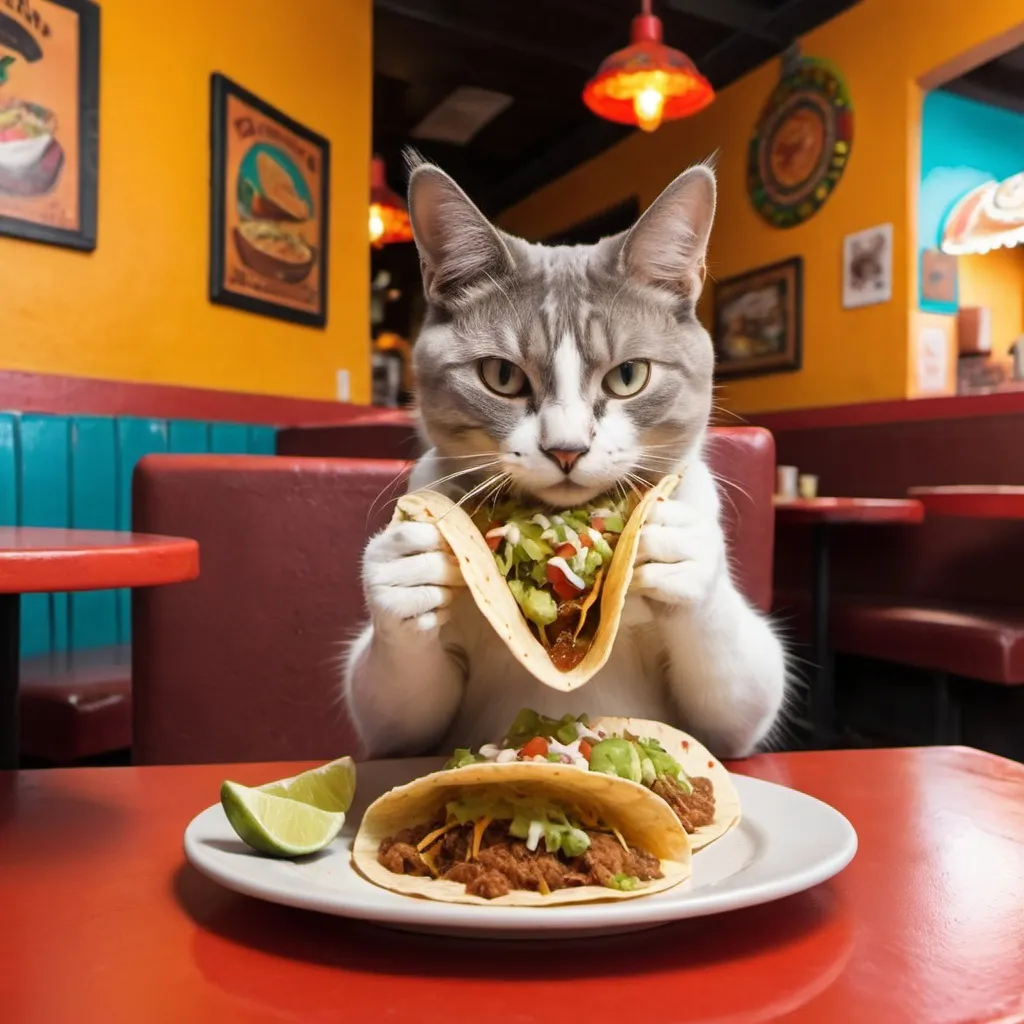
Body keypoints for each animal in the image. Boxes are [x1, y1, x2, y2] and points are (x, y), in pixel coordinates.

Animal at [342, 153, 782, 761]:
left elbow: (740, 701)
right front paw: (403, 564)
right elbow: (399, 719)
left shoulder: (733, 709)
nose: (566, 449)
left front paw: (685, 553)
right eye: (501, 376)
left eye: (629, 375)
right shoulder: (398, 722)